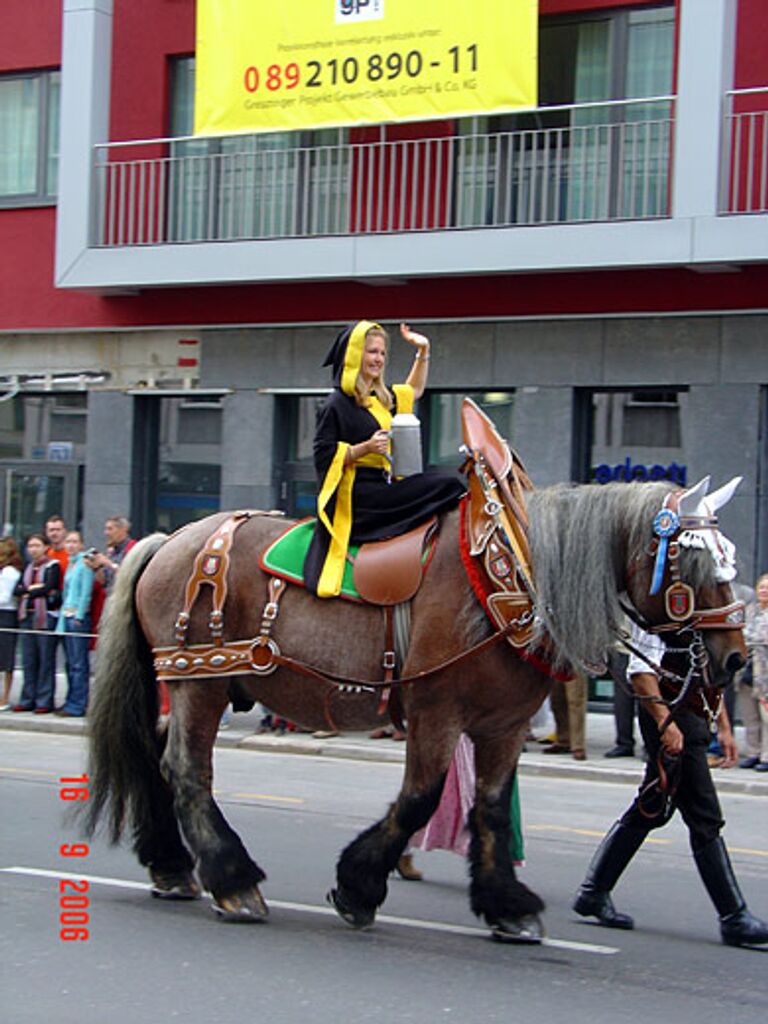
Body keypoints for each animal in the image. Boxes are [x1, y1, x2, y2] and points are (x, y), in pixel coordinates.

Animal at [82, 471, 745, 942]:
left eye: (729, 557)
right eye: (694, 561)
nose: (737, 657)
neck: (515, 579)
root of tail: (173, 539)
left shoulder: (503, 725)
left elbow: (490, 809)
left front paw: (506, 905)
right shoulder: (436, 712)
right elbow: (420, 799)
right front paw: (357, 886)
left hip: (202, 683)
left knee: (155, 751)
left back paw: (171, 865)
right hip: (203, 680)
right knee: (187, 769)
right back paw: (232, 880)